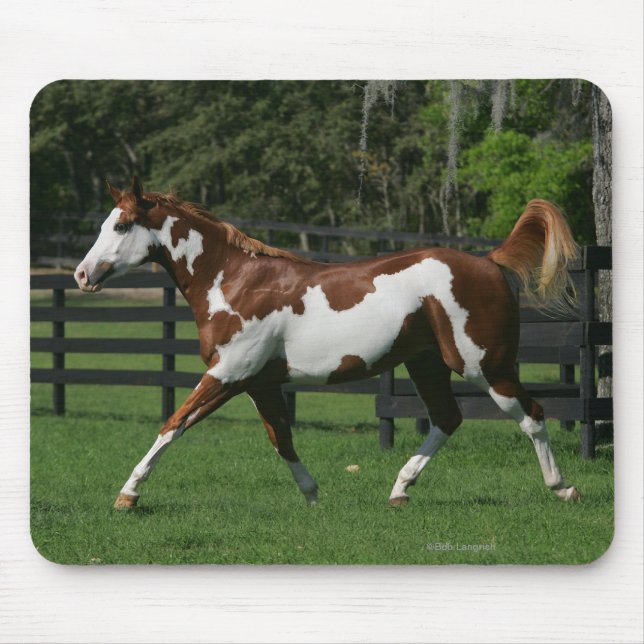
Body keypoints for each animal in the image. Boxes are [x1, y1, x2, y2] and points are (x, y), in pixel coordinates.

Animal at [74, 177, 581, 509]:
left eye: (121, 226)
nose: (81, 275)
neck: (233, 281)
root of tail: (490, 261)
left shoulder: (228, 374)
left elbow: (173, 424)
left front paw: (128, 494)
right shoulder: (259, 382)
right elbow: (282, 439)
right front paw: (314, 495)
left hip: (485, 365)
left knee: (532, 415)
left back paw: (563, 488)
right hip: (428, 364)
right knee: (446, 418)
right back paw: (399, 490)